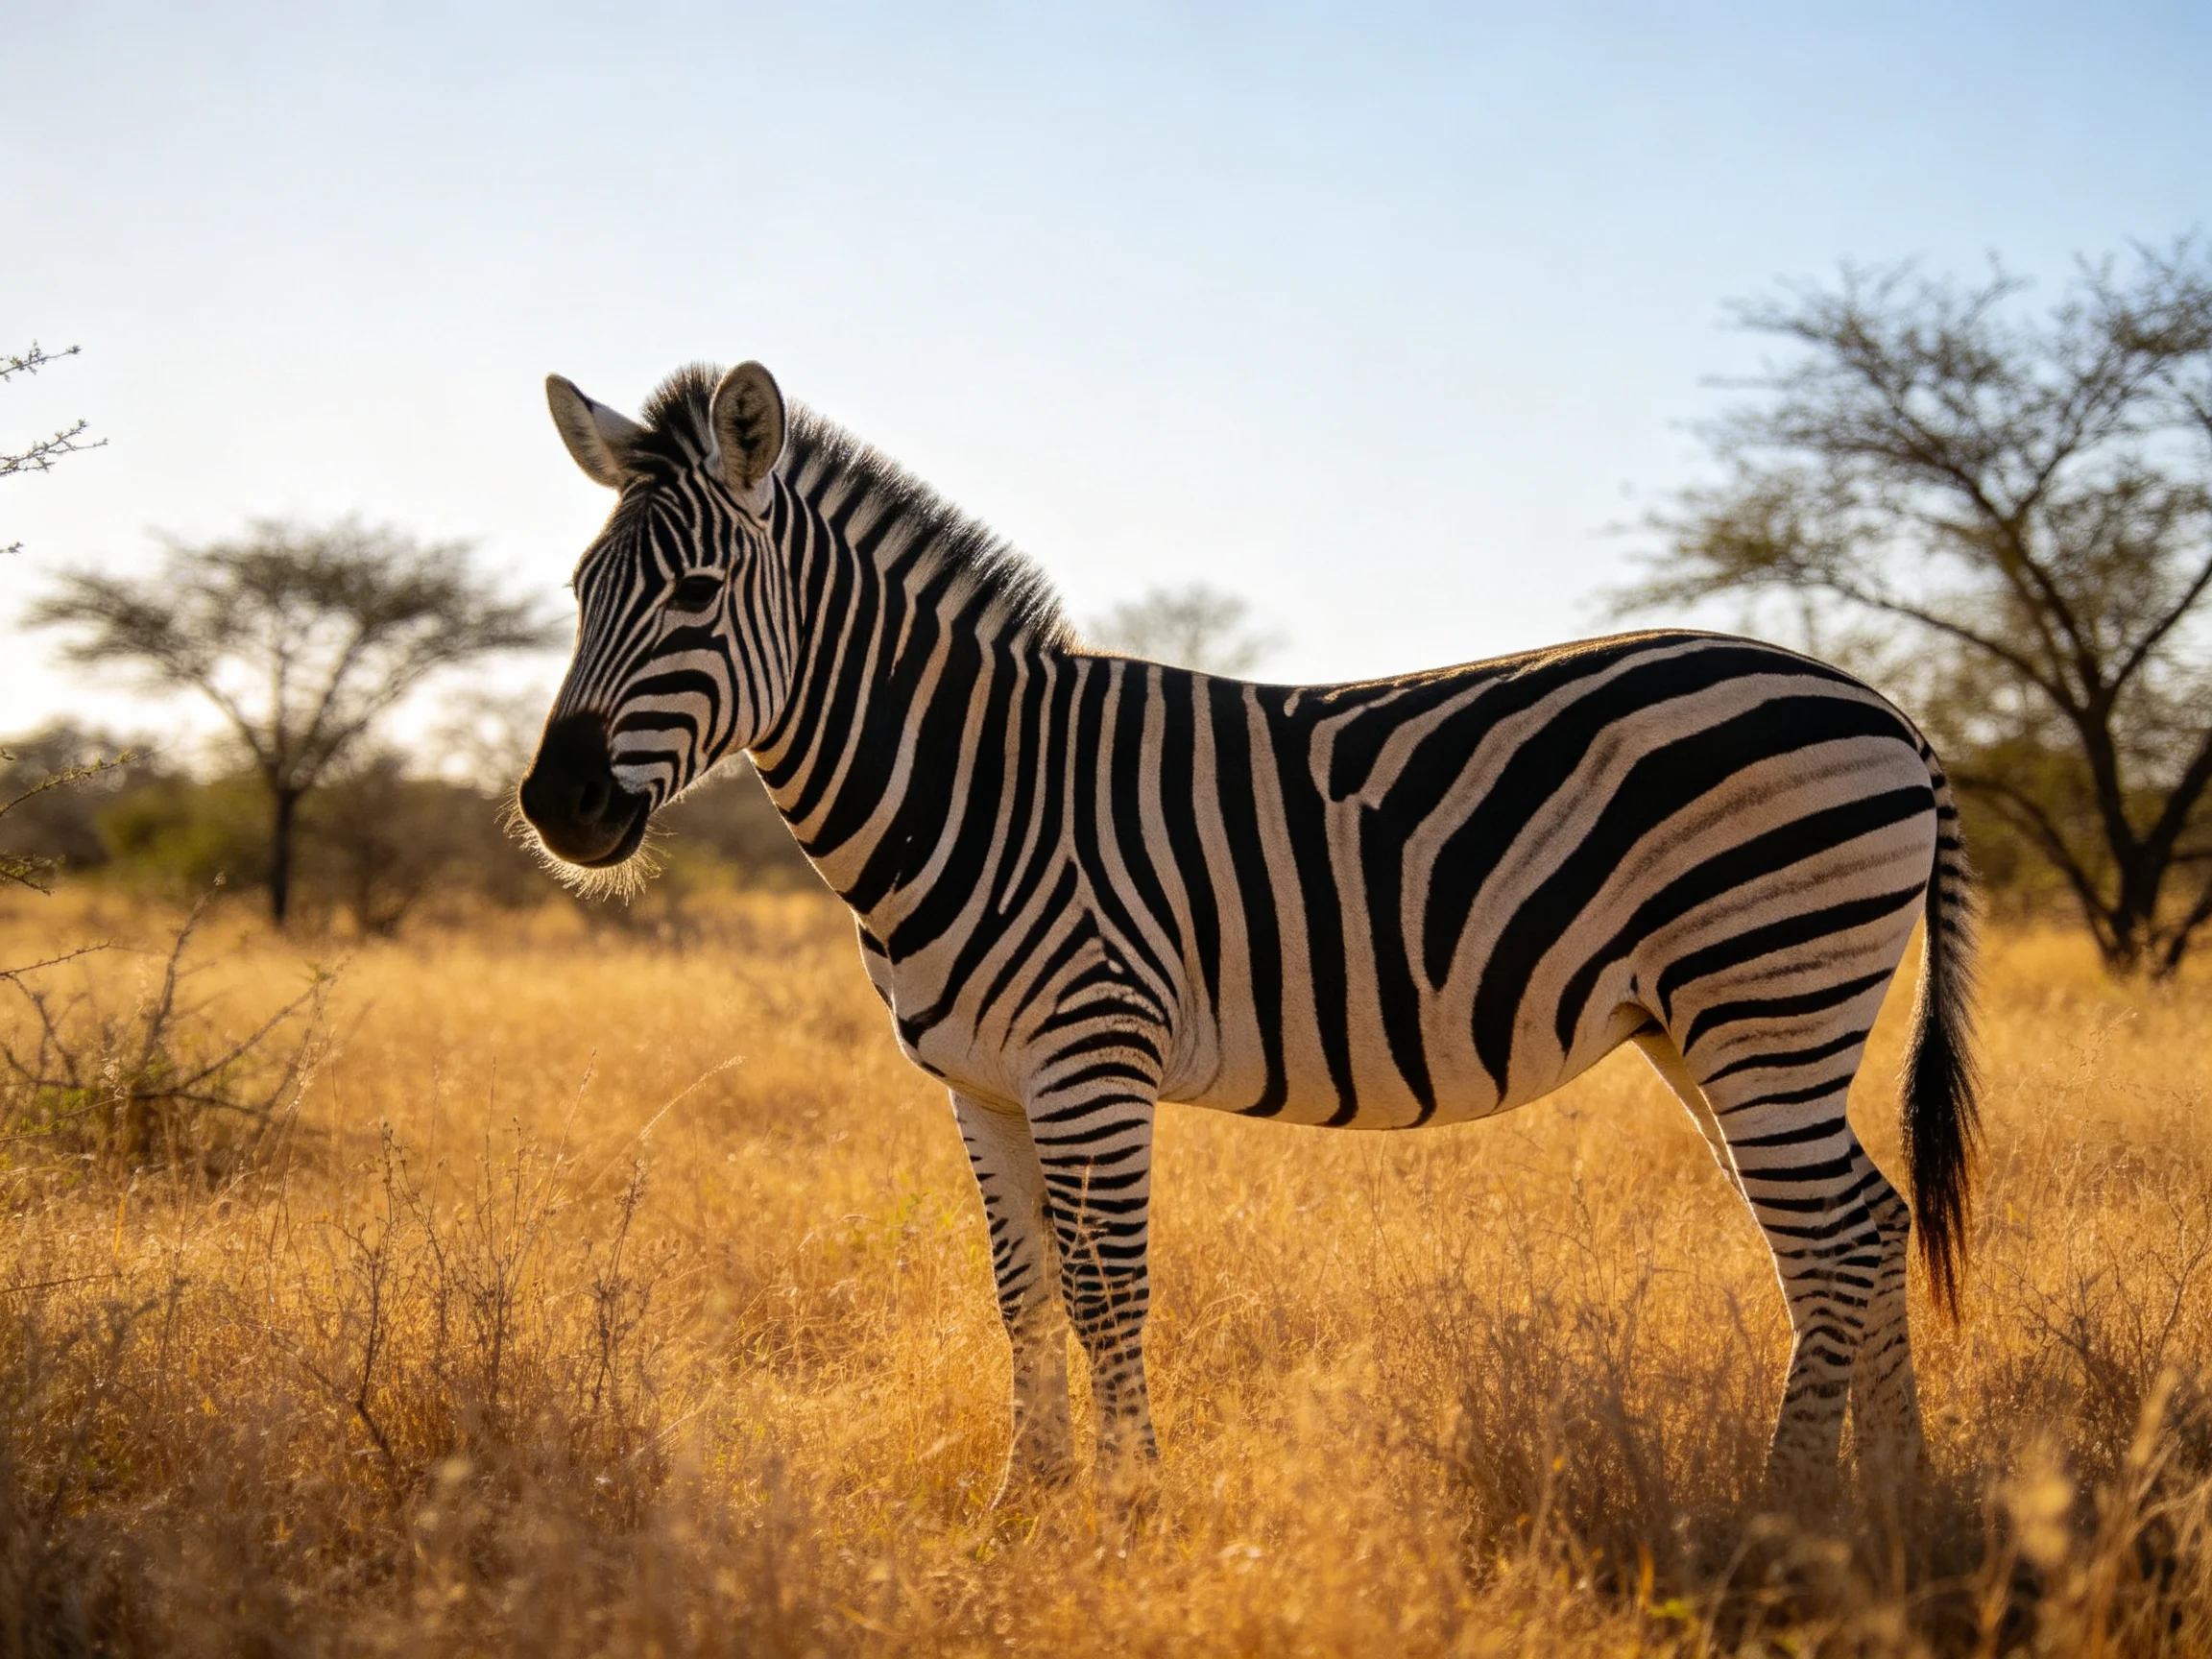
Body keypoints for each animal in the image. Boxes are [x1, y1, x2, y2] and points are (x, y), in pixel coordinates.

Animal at [517, 359, 1978, 1514]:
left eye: (698, 593)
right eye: (581, 591)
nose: (556, 805)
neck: (976, 784)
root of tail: (1889, 709)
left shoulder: (1091, 1060)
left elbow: (1108, 1291)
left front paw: (1129, 1515)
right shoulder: (981, 1086)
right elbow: (1019, 1292)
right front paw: (1023, 1508)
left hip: (1765, 1001)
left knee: (1836, 1237)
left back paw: (1788, 1511)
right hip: (1707, 1025)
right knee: (1859, 1223)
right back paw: (1895, 1505)